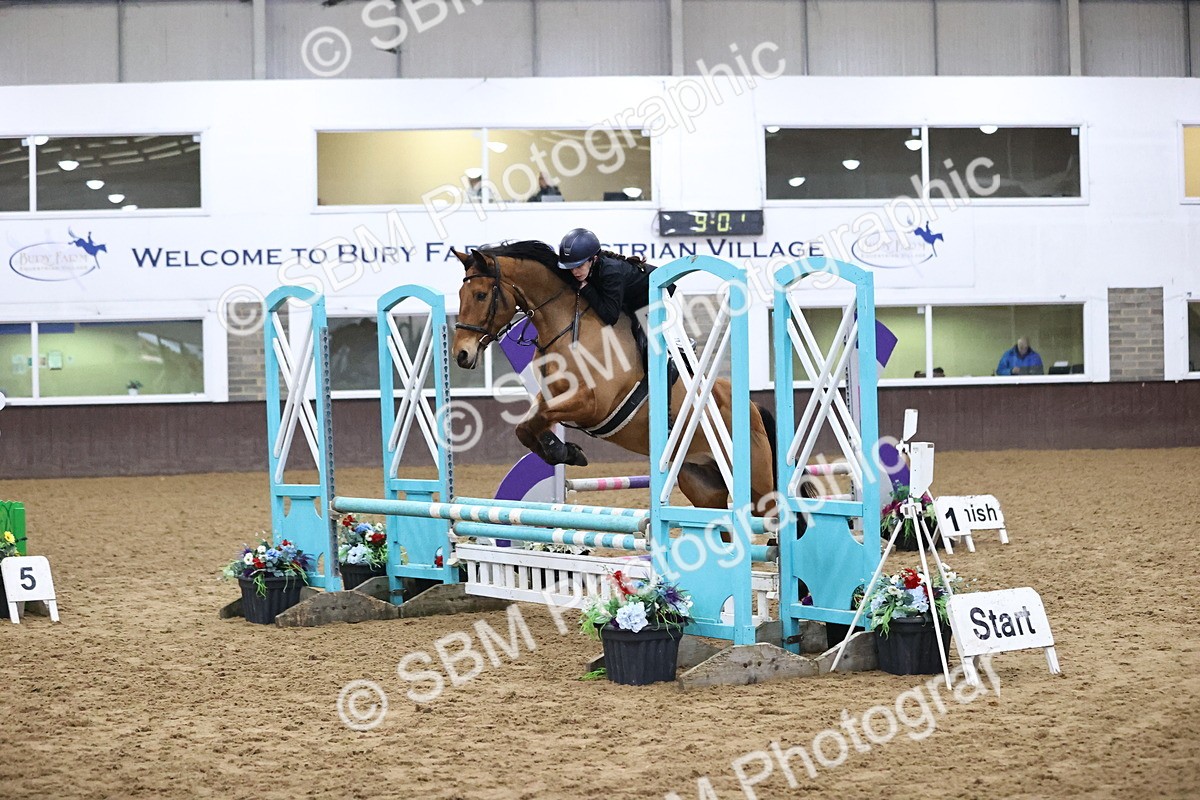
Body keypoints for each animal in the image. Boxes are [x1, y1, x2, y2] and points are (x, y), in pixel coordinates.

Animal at [450, 241, 781, 515]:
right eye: (460, 295)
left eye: (480, 295)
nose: (461, 355)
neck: (567, 327)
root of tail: (753, 407)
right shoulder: (552, 398)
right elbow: (525, 427)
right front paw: (565, 451)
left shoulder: (592, 405)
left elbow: (536, 421)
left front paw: (564, 451)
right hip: (701, 484)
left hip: (756, 484)